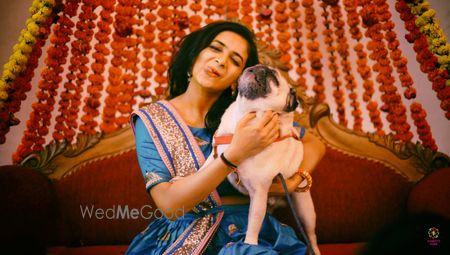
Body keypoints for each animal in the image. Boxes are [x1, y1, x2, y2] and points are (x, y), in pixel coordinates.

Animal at [211, 64, 302, 244]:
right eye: (261, 66)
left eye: (274, 78)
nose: (260, 67)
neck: (245, 114)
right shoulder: (214, 154)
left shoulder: (259, 193)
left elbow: (254, 222)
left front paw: (250, 243)